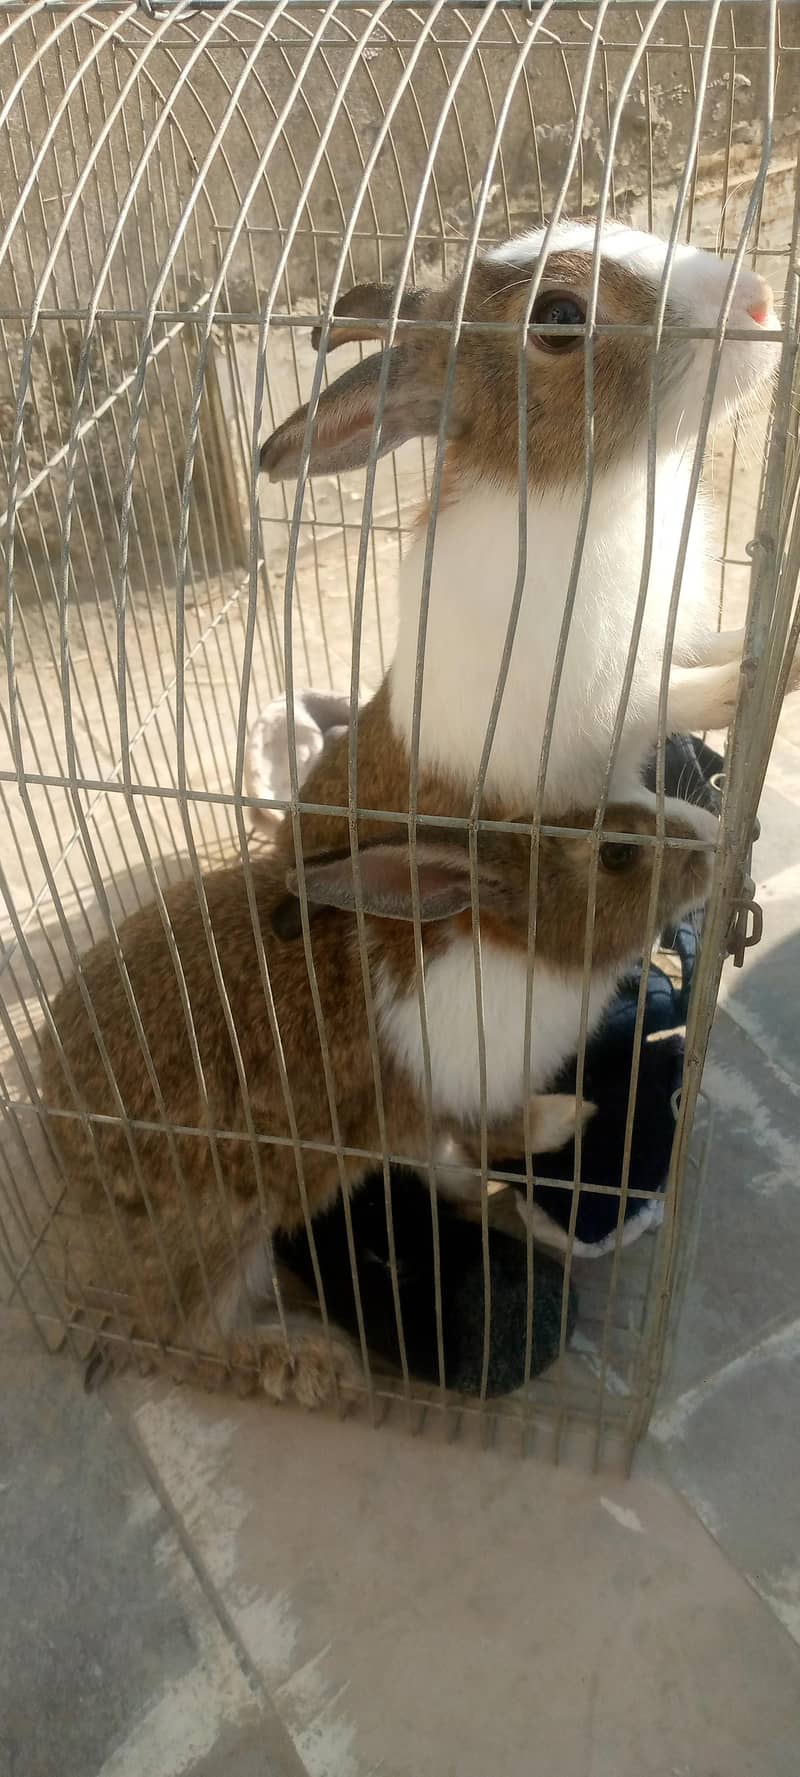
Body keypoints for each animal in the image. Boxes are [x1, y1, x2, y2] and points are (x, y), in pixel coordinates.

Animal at [39, 795, 711, 1406]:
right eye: (617, 853)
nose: (710, 839)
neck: (518, 944)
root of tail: (62, 1137)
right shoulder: (445, 1100)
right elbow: (486, 1136)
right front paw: (565, 1120)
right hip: (219, 1224)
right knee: (189, 1330)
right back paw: (312, 1361)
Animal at [260, 219, 789, 860]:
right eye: (558, 317)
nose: (759, 299)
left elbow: (698, 650)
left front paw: (756, 646)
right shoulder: (585, 711)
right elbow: (663, 696)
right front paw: (740, 688)